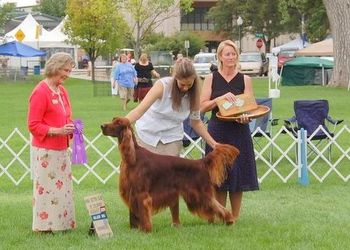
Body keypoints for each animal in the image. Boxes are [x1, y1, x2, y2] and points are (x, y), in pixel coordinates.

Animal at [100, 117, 239, 232]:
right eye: (112, 120)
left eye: (118, 122)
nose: (102, 125)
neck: (133, 157)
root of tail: (201, 162)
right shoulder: (132, 192)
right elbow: (135, 213)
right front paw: (134, 229)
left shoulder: (141, 193)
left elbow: (143, 213)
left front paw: (145, 230)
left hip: (201, 193)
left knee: (217, 206)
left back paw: (229, 220)